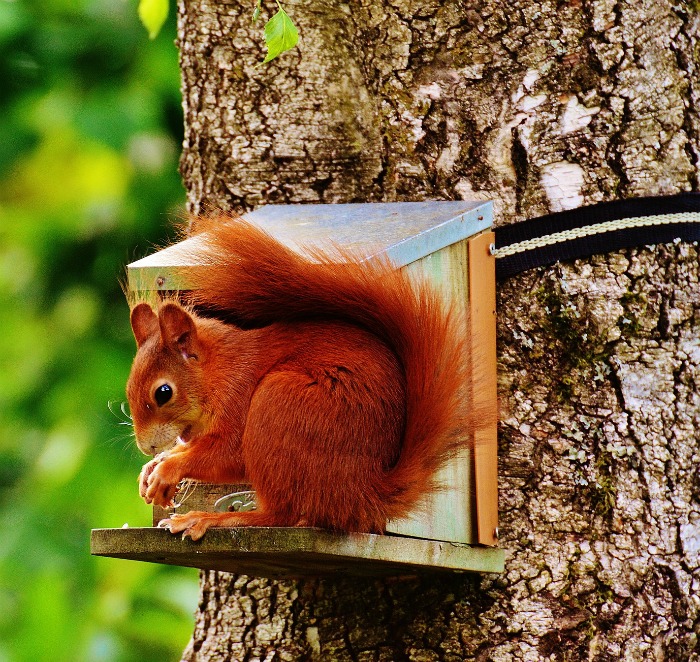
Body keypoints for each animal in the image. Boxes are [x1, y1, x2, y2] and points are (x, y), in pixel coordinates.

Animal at [126, 216, 481, 540]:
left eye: (163, 393)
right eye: (129, 390)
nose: (145, 447)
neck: (219, 372)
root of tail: (363, 495)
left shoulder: (239, 396)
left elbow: (228, 455)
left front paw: (167, 469)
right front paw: (152, 469)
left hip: (278, 403)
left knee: (280, 514)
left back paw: (209, 519)